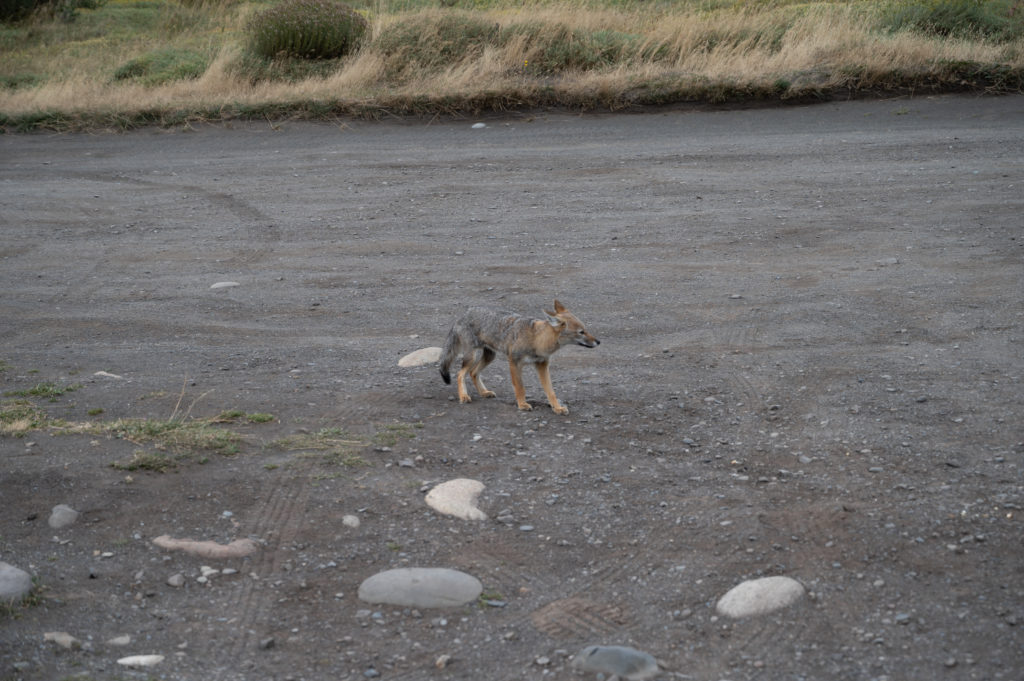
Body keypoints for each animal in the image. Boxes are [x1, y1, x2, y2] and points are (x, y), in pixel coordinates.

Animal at [440, 299, 598, 413]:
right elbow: (520, 387)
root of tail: (463, 314)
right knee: (460, 374)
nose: (598, 341)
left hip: (490, 356)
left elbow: (550, 390)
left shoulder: (542, 365)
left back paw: (484, 392)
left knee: (473, 372)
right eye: (581, 332)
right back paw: (464, 396)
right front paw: (522, 404)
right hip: (472, 356)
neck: (537, 339)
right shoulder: (514, 362)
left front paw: (557, 407)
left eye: (586, 330)